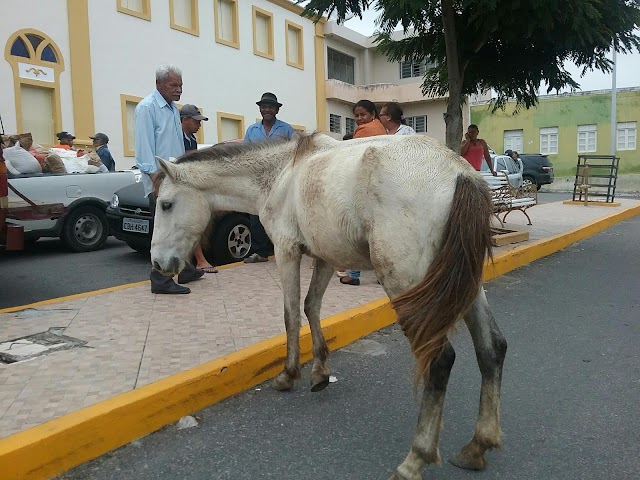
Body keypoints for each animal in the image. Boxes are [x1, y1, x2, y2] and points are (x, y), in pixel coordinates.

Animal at [149, 134, 504, 480]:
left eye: (166, 205)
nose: (158, 263)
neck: (281, 173)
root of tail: (460, 174)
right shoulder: (324, 256)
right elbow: (311, 307)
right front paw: (320, 371)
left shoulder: (287, 250)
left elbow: (291, 314)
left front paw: (288, 375)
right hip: (466, 284)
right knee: (491, 348)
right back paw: (477, 446)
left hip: (406, 284)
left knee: (440, 359)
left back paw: (415, 460)